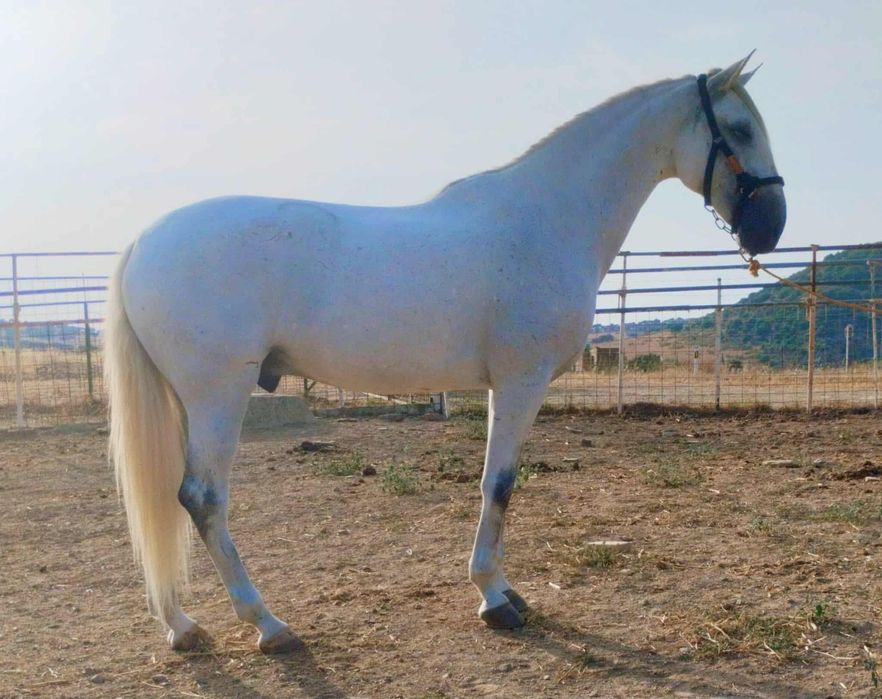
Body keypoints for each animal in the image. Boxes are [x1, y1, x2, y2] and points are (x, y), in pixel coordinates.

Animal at [105, 54, 786, 653]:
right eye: (741, 129)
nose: (771, 228)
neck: (544, 219)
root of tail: (140, 242)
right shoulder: (521, 381)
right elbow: (500, 484)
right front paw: (494, 600)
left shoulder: (499, 386)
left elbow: (496, 483)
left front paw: (502, 589)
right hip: (219, 395)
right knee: (202, 498)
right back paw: (268, 625)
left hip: (190, 400)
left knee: (173, 499)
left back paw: (183, 626)